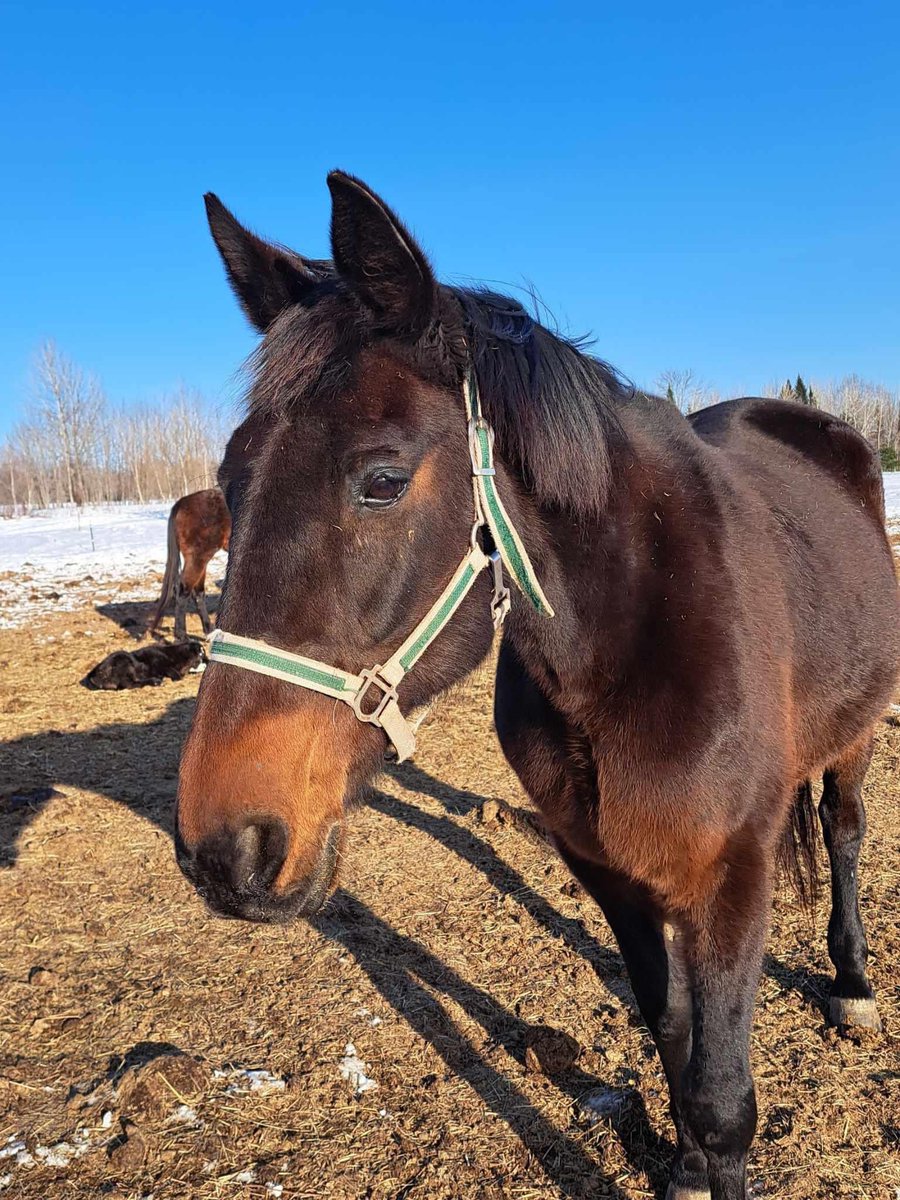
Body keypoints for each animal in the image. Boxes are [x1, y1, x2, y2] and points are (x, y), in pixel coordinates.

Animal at [148, 484, 230, 643]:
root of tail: (182, 502)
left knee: (197, 593)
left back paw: (209, 632)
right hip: (198, 558)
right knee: (183, 591)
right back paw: (182, 637)